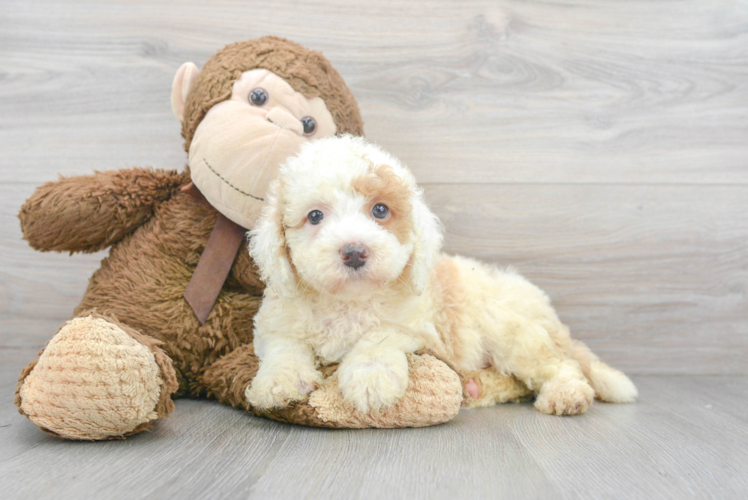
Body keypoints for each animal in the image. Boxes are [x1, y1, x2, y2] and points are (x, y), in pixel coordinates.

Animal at [245, 135, 636, 416]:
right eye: (315, 216)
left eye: (380, 210)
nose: (355, 251)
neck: (349, 302)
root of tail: (549, 315)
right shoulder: (277, 321)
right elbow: (285, 347)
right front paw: (278, 382)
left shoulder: (417, 326)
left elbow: (378, 338)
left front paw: (371, 380)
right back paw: (477, 388)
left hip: (514, 333)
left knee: (559, 366)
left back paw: (565, 393)